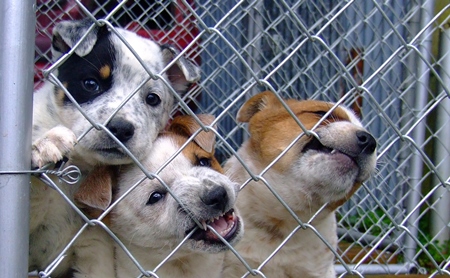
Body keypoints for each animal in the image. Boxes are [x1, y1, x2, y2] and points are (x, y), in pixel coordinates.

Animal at [29, 18, 200, 276]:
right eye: (91, 84)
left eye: (152, 99)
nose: (120, 129)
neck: (83, 167)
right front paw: (45, 143)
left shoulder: (95, 243)